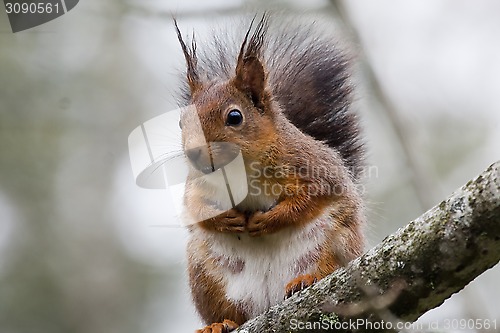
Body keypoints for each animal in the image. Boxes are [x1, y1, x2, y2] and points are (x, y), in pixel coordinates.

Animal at [174, 13, 366, 332]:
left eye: (234, 117)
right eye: (181, 122)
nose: (193, 153)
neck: (239, 170)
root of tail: (268, 302)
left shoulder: (314, 168)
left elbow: (311, 198)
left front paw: (271, 219)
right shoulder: (197, 184)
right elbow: (194, 208)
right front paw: (224, 219)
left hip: (335, 242)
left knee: (328, 268)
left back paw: (306, 281)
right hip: (206, 273)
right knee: (231, 313)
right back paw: (219, 323)